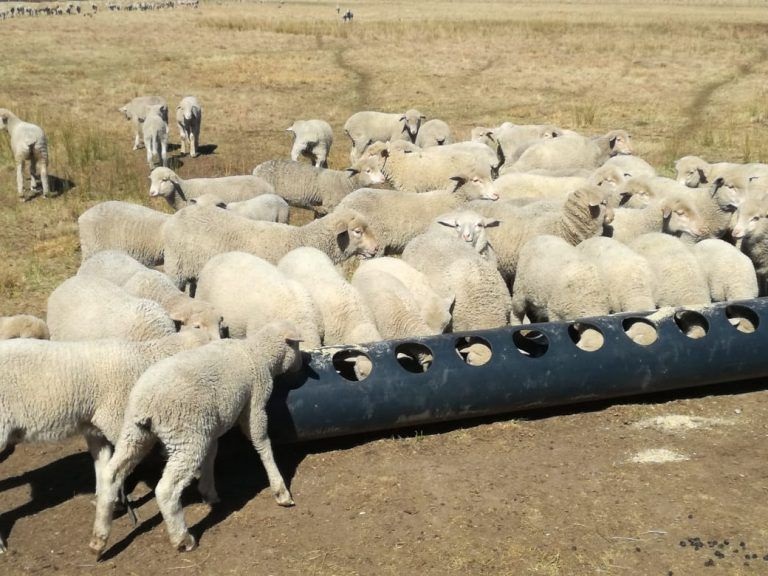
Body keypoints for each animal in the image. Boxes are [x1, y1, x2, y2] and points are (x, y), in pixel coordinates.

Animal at [0, 329, 211, 553]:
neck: (145, 359)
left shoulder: (96, 430)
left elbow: (103, 469)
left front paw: (110, 504)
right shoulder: (118, 422)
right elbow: (117, 470)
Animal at [89, 321, 302, 555]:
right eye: (298, 346)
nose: (303, 365)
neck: (257, 353)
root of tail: (147, 402)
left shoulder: (211, 425)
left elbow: (212, 454)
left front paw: (209, 492)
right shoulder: (255, 404)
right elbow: (262, 443)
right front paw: (281, 491)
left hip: (135, 434)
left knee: (110, 474)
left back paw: (99, 538)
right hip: (186, 436)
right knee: (166, 490)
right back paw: (183, 539)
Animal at [251, 157, 386, 215]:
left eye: (379, 168)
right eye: (368, 171)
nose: (383, 179)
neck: (344, 182)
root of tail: (257, 168)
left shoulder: (320, 207)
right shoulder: (331, 207)